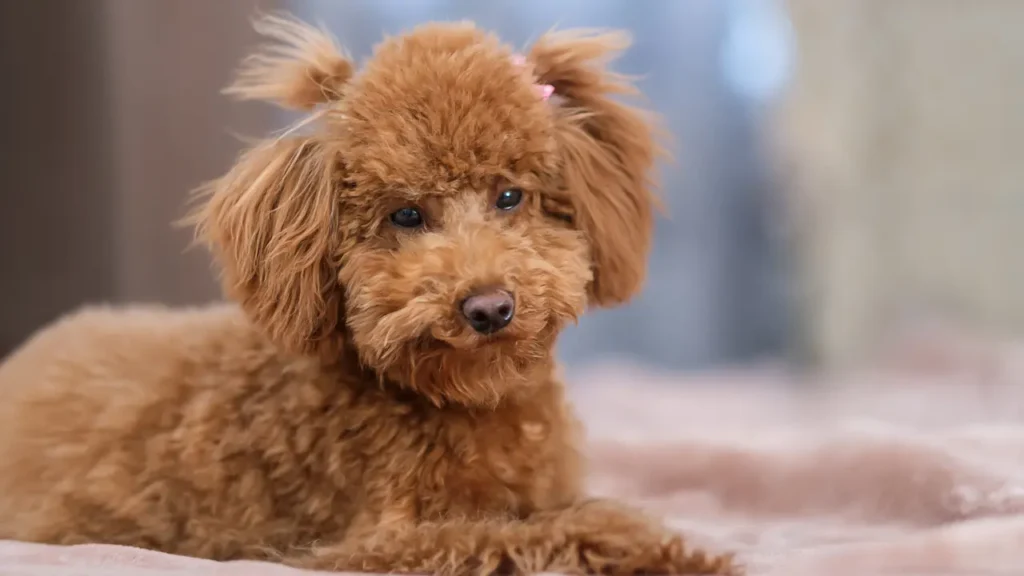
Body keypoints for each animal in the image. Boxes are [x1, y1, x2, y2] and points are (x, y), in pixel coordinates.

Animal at [0, 13, 737, 573]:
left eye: (510, 197)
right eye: (406, 215)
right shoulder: (369, 546)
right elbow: (520, 536)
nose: (489, 308)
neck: (457, 400)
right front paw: (658, 548)